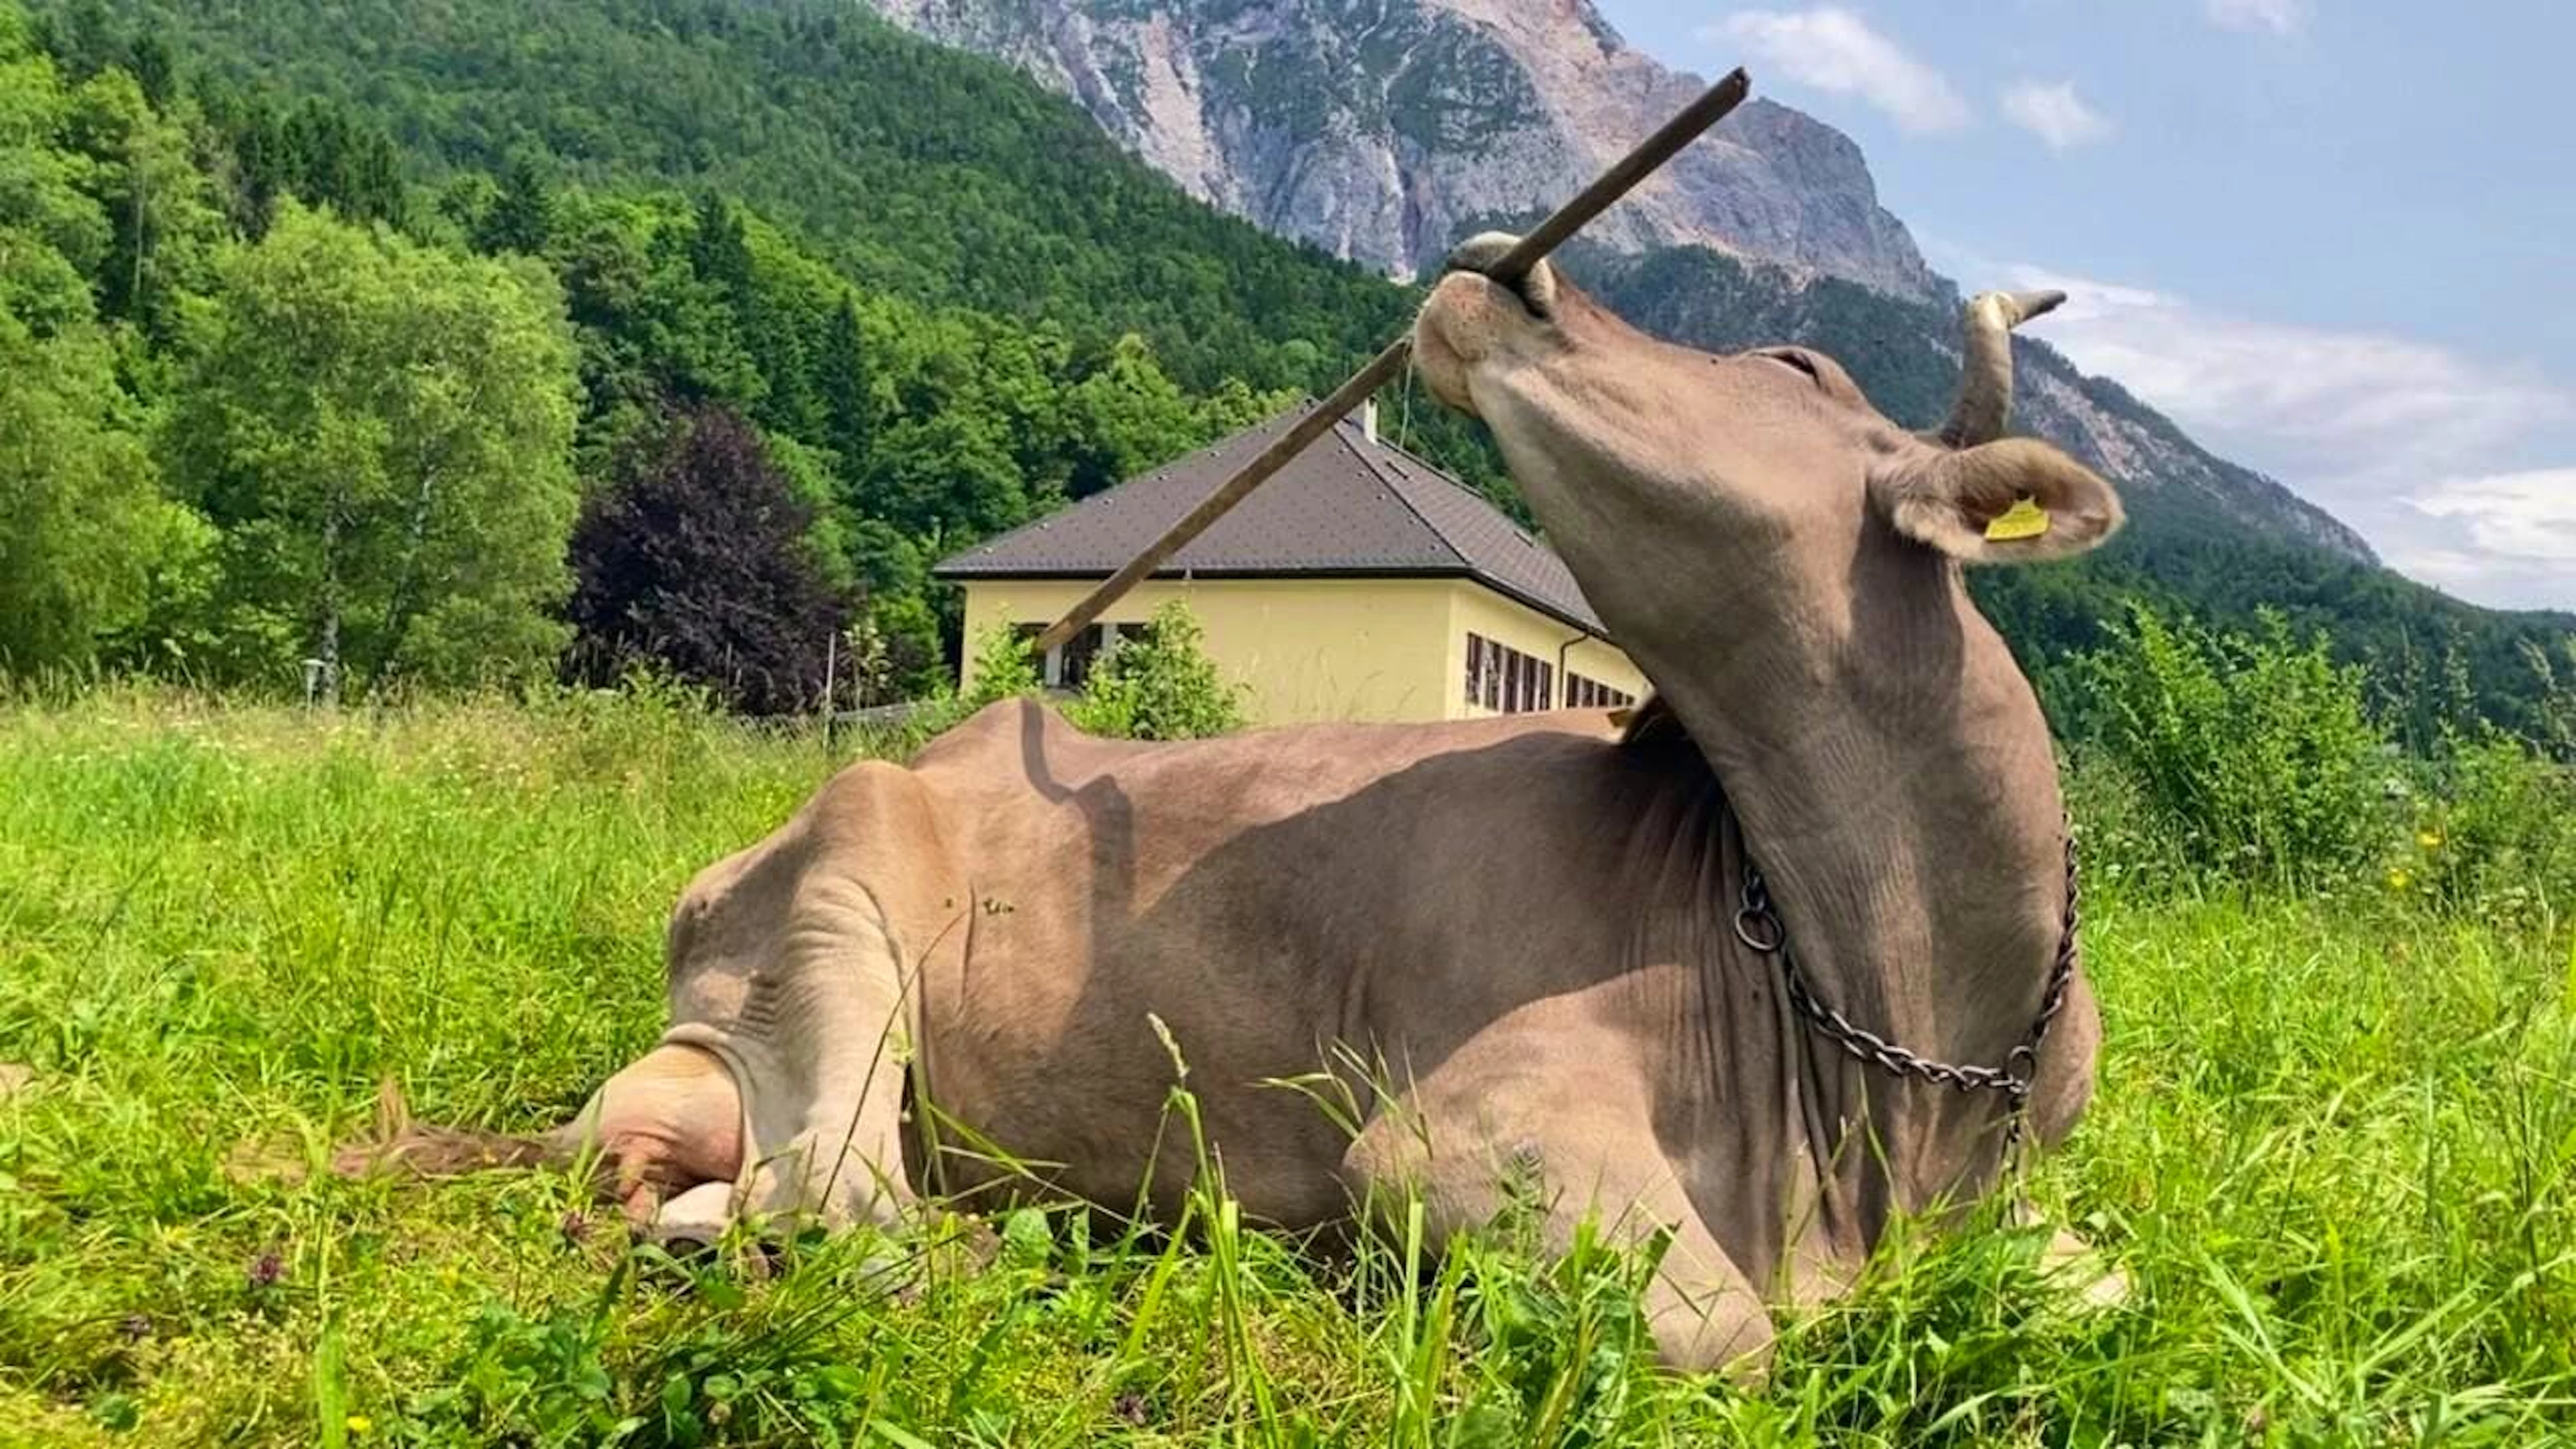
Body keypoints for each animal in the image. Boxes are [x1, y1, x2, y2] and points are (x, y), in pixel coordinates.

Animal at [341, 235, 2125, 1378]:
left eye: (1789, 361)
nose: (1508, 260)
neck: (1895, 1041)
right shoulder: (1457, 1131)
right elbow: (1732, 1337)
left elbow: (2098, 1287)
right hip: (837, 906)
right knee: (840, 1201)